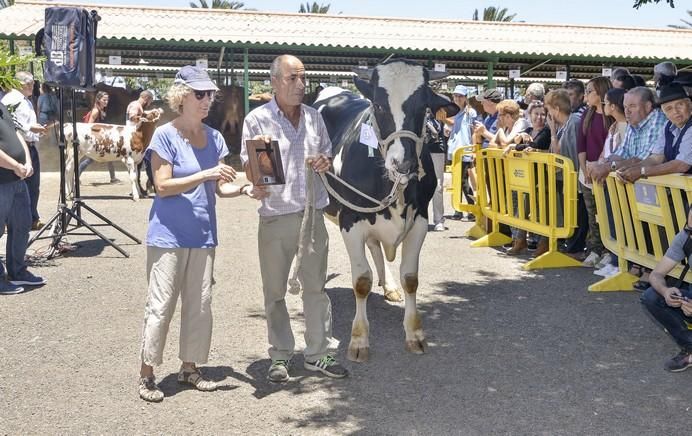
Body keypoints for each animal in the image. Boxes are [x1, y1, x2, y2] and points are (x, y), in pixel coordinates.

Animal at [314, 59, 460, 362]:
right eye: (379, 106)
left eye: (423, 107)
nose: (402, 163)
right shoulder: (351, 220)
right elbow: (361, 281)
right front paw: (359, 339)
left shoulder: (419, 220)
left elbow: (411, 279)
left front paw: (414, 333)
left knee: (375, 248)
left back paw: (389, 285)